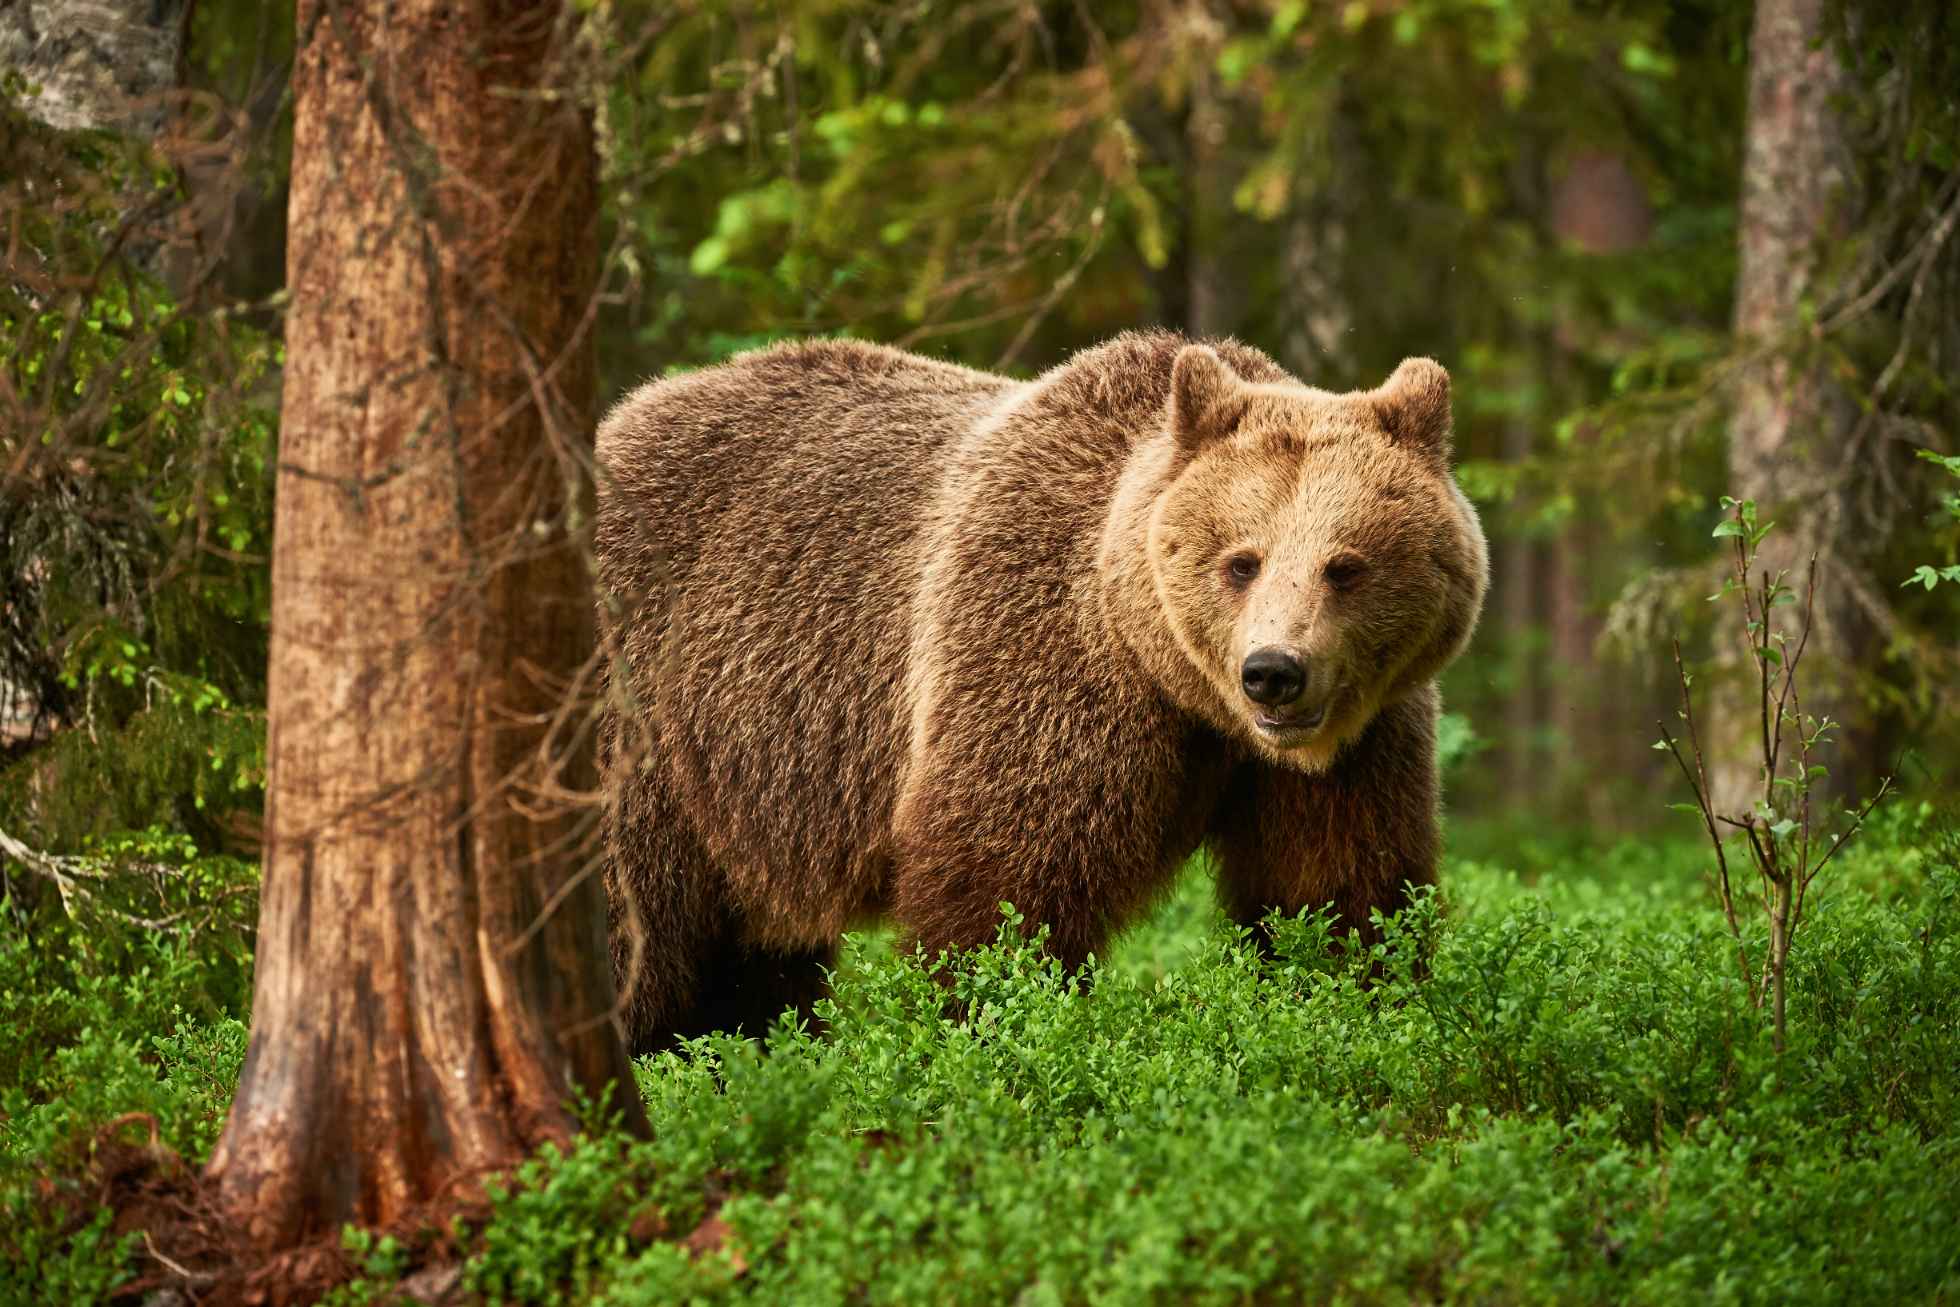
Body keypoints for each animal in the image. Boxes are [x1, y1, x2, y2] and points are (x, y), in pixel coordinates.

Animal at [595, 333, 1481, 1058]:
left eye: (1346, 565)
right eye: (1242, 559)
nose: (1273, 669)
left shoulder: (1358, 744)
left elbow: (1335, 889)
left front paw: (1351, 1004)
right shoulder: (1040, 657)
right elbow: (1006, 887)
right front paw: (992, 1026)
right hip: (651, 706)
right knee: (635, 921)